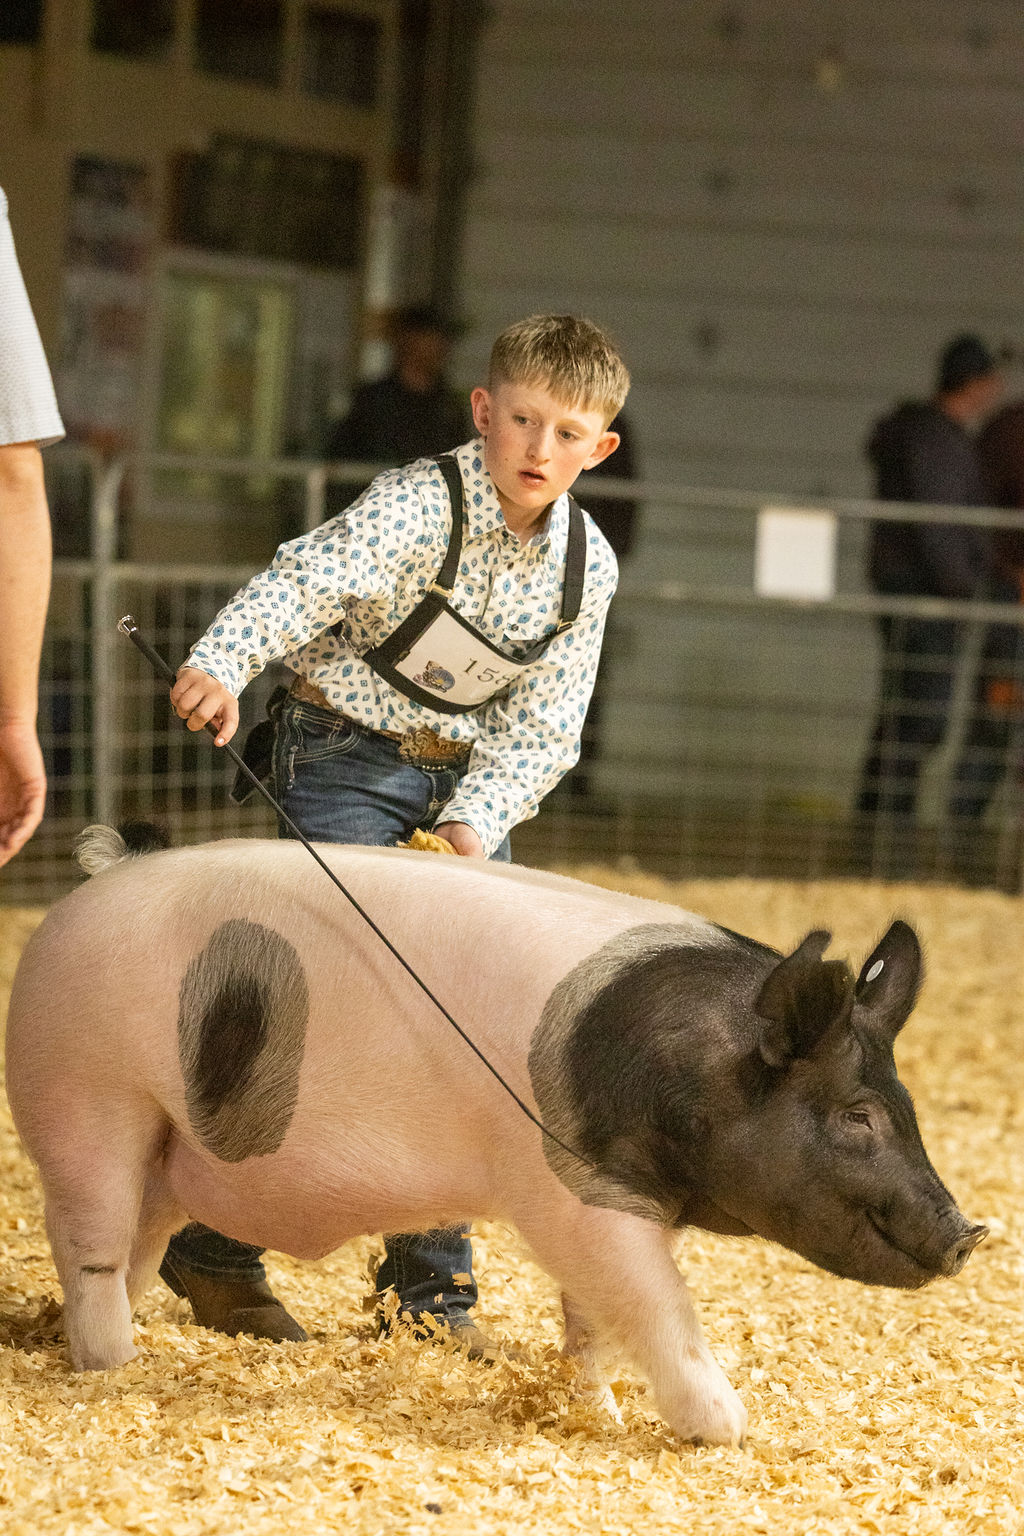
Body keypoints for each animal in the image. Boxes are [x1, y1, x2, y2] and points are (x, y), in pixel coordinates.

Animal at [4, 829, 988, 1437]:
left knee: (133, 1245)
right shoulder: (570, 1189)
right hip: (88, 1094)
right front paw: (729, 1431)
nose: (969, 1233)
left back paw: (104, 1346)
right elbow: (658, 1307)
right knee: (87, 1239)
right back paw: (113, 1367)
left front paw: (598, 1415)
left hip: (167, 1147)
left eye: (902, 1103)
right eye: (857, 1116)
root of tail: (86, 890)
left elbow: (596, 1321)